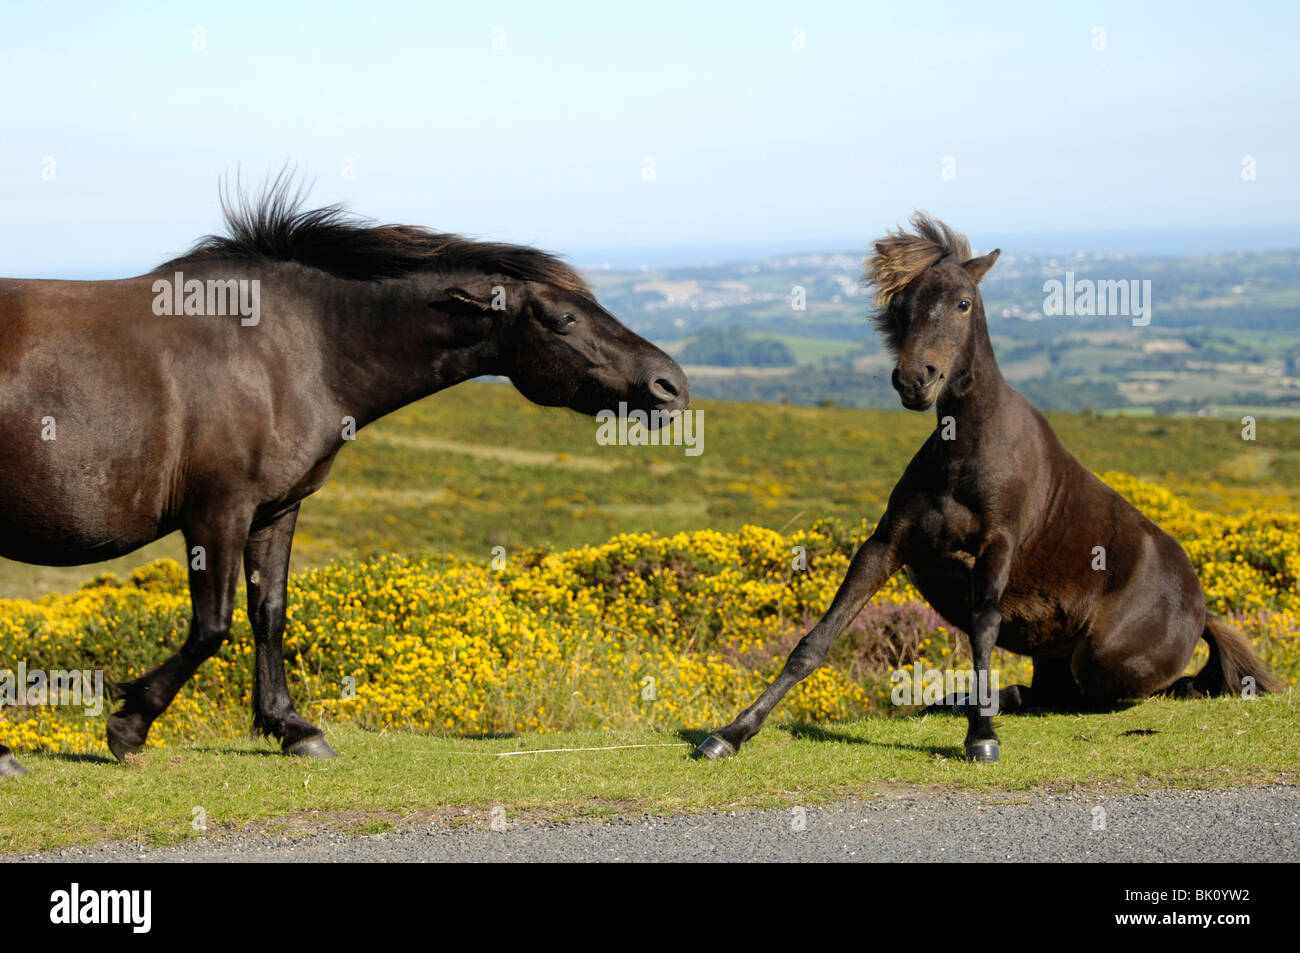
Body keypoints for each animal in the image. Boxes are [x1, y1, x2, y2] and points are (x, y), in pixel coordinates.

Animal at [0, 178, 689, 777]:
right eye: (565, 320)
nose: (671, 385)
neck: (286, 349)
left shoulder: (274, 510)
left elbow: (269, 613)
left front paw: (292, 728)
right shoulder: (217, 511)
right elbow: (213, 625)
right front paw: (128, 725)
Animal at [697, 212, 1279, 764]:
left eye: (962, 303)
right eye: (900, 306)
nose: (915, 379)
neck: (965, 454)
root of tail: (1202, 610)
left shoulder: (997, 546)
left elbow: (982, 626)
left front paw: (981, 736)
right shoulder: (886, 545)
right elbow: (818, 639)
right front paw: (732, 733)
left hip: (1100, 658)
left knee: (1114, 692)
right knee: (1050, 692)